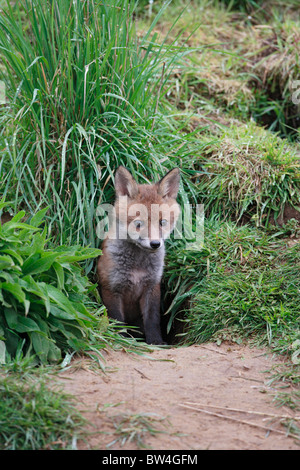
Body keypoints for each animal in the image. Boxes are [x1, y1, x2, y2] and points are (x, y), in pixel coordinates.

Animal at [96, 166, 180, 346]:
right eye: (138, 223)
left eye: (162, 222)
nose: (155, 244)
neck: (137, 268)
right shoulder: (111, 288)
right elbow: (117, 320)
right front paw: (121, 340)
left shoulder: (152, 287)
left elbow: (152, 320)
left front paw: (156, 341)